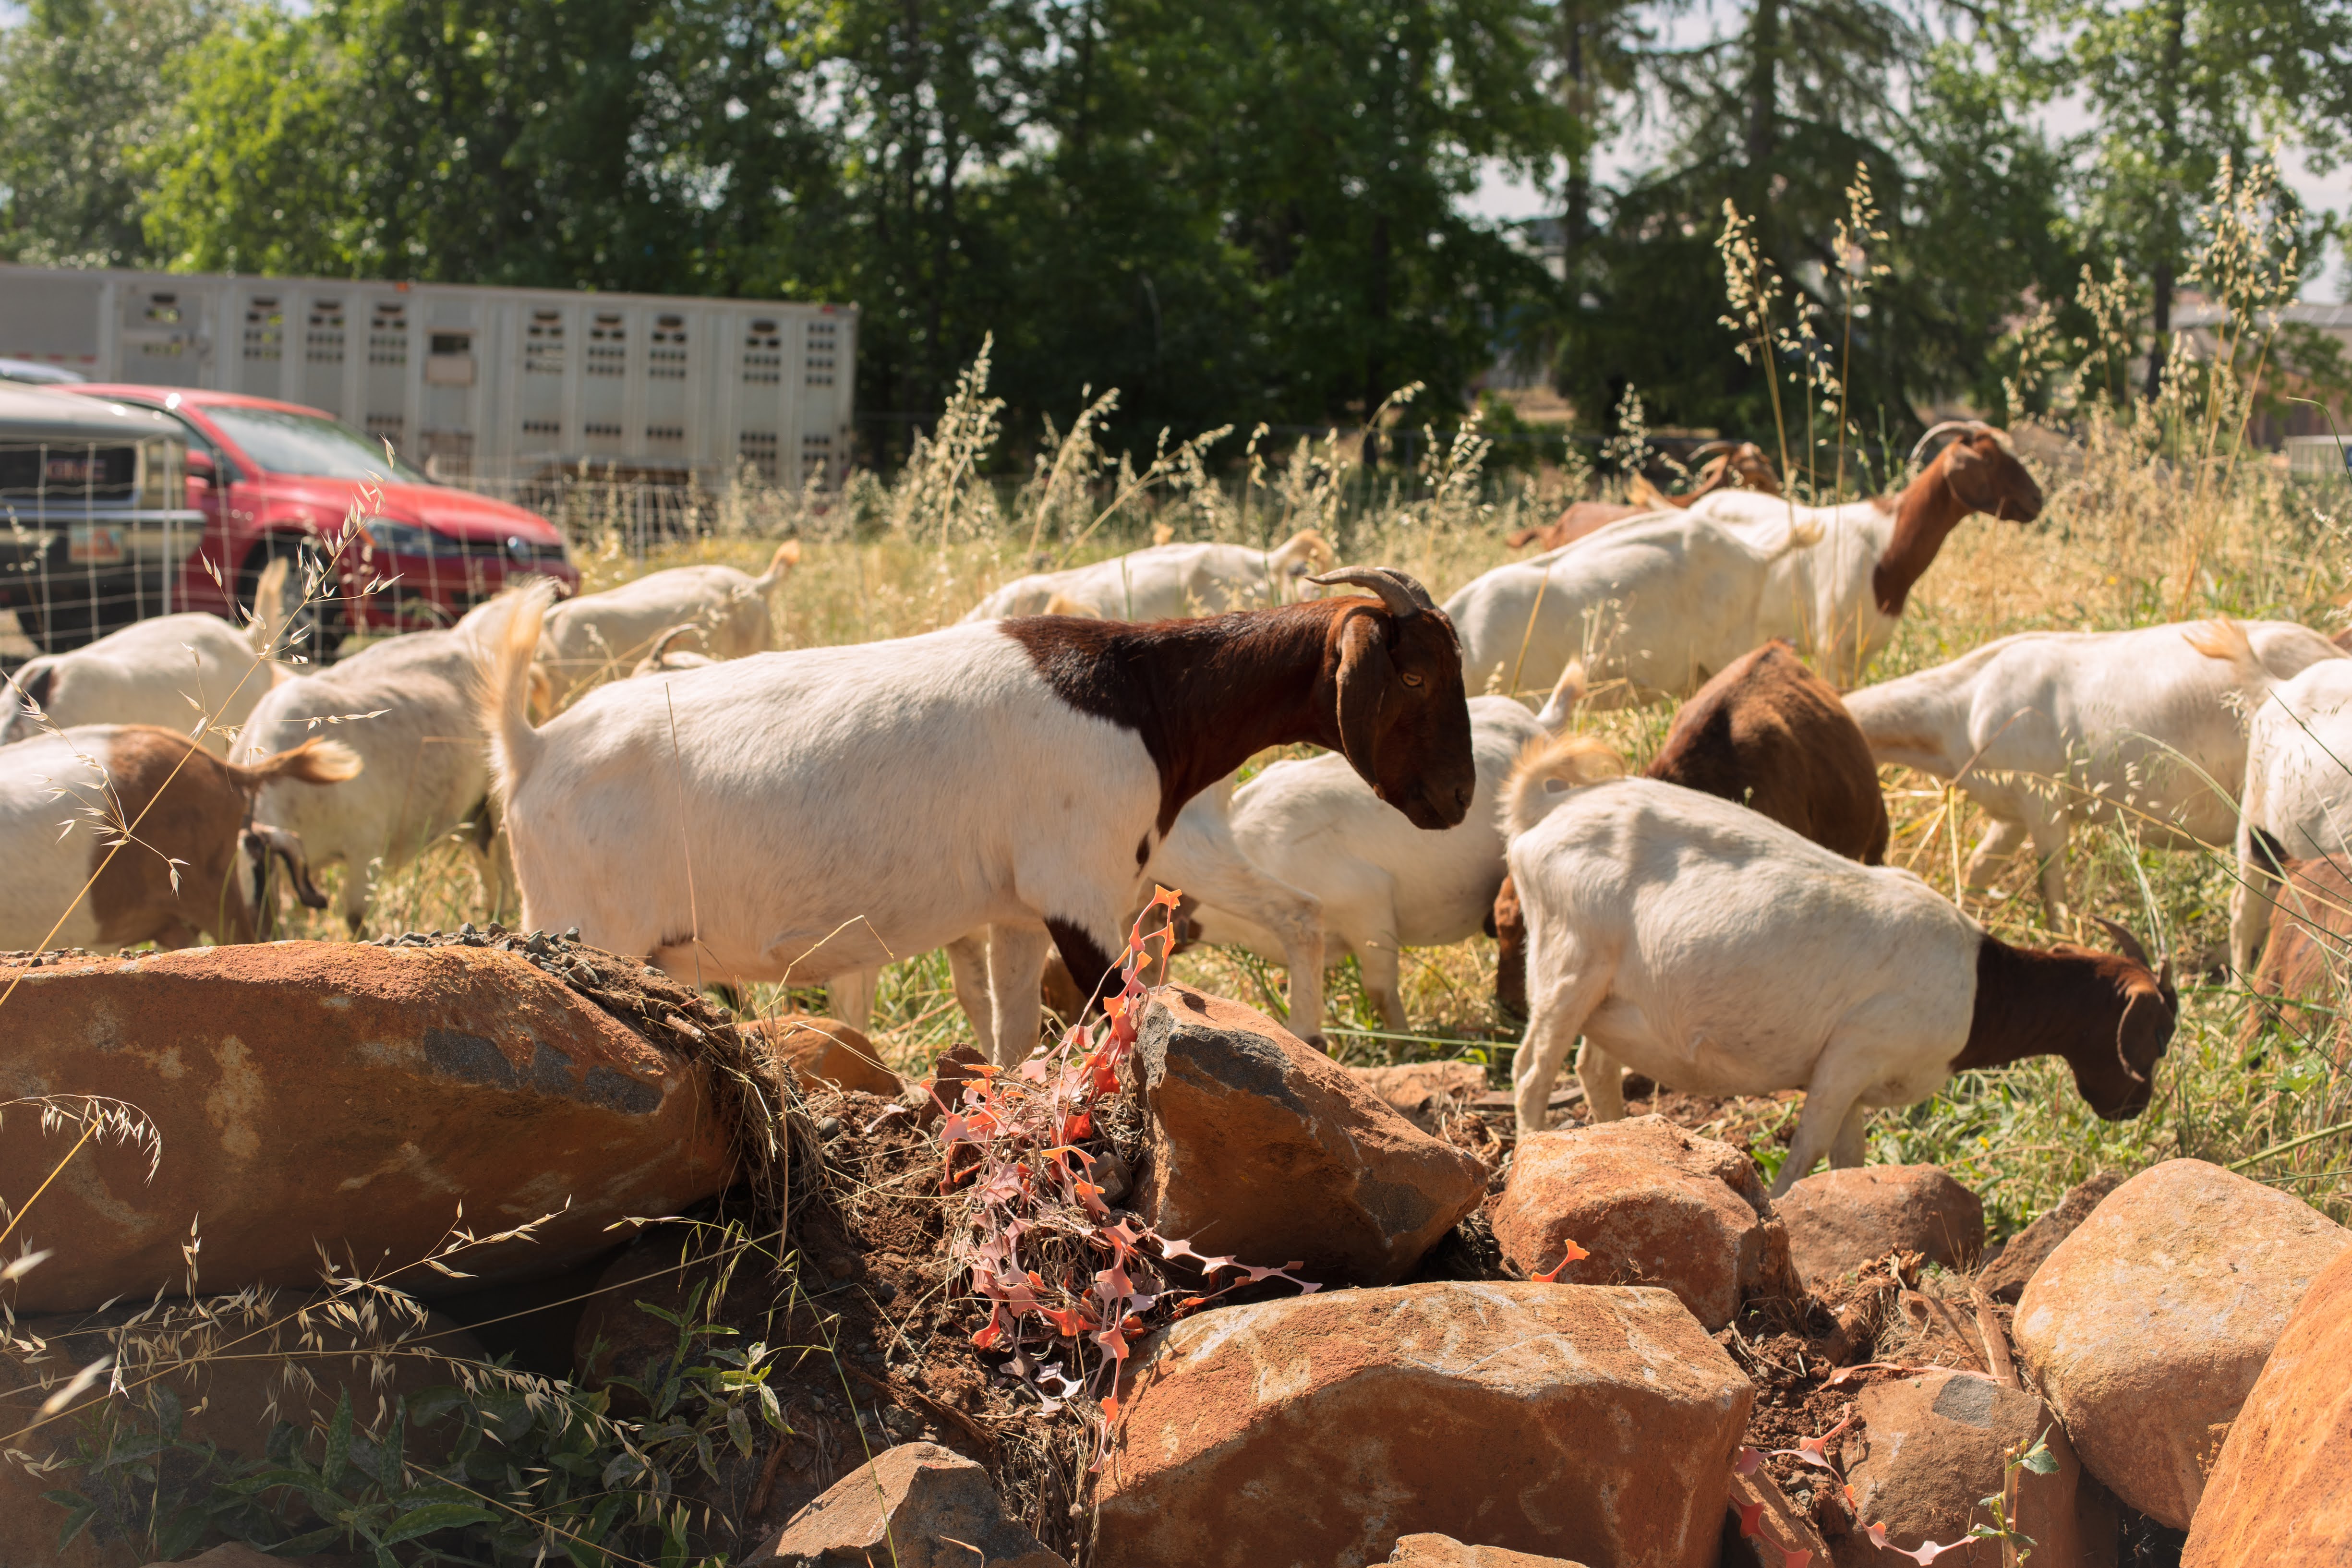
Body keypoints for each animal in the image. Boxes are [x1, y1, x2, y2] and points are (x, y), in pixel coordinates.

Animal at [235, 598, 517, 931]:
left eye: (260, 874)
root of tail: (464, 642)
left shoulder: (364, 848)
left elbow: (355, 917)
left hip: (495, 796)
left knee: (502, 861)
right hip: (470, 811)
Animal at [479, 568, 1477, 1065]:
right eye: (1414, 673)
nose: (1458, 797)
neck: (1144, 698)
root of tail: (529, 748)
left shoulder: (1014, 915)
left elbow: (1009, 1041)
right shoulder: (1078, 888)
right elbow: (1112, 1014)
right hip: (589, 921)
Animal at [1503, 767, 2176, 1195]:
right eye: (2158, 1034)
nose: (2133, 1105)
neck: (1980, 987)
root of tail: (1544, 812)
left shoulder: (1858, 1079)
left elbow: (1849, 1157)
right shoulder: (1854, 1050)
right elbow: (1808, 1145)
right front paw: (1775, 1207)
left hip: (1611, 994)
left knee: (1593, 1066)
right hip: (1569, 959)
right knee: (1532, 1071)